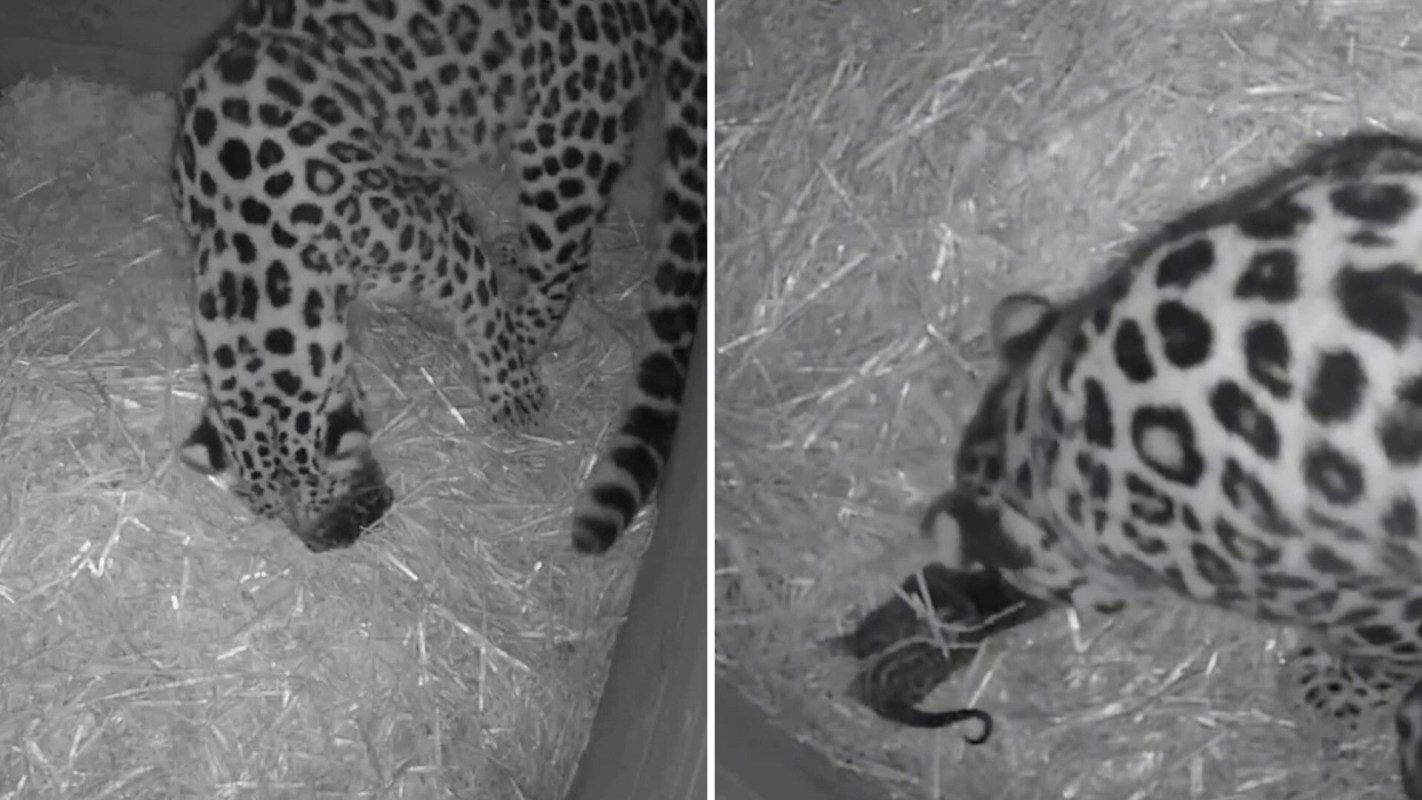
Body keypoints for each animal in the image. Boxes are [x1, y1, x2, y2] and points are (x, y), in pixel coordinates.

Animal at [170, 0, 706, 553]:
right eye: (270, 513)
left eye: (326, 489)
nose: (326, 544)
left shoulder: (440, 232)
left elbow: (484, 318)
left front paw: (515, 394)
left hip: (566, 150)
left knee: (565, 262)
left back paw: (528, 337)